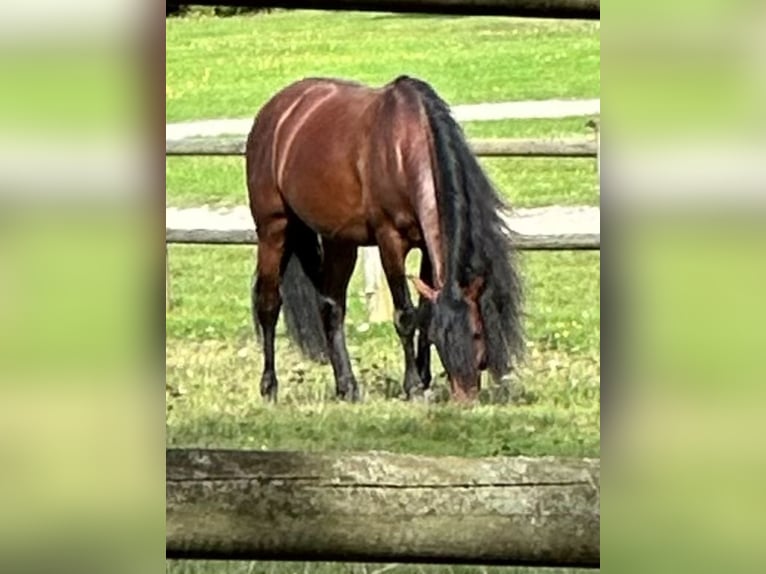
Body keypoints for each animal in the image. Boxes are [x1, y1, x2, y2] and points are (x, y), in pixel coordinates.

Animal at [249, 75, 524, 404]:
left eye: (477, 333)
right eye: (444, 338)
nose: (465, 396)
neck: (404, 148)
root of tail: (275, 112)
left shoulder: (427, 248)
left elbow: (424, 311)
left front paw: (425, 378)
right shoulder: (390, 242)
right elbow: (405, 315)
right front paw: (414, 386)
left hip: (339, 242)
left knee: (331, 307)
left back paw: (347, 387)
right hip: (273, 229)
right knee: (268, 304)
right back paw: (269, 387)